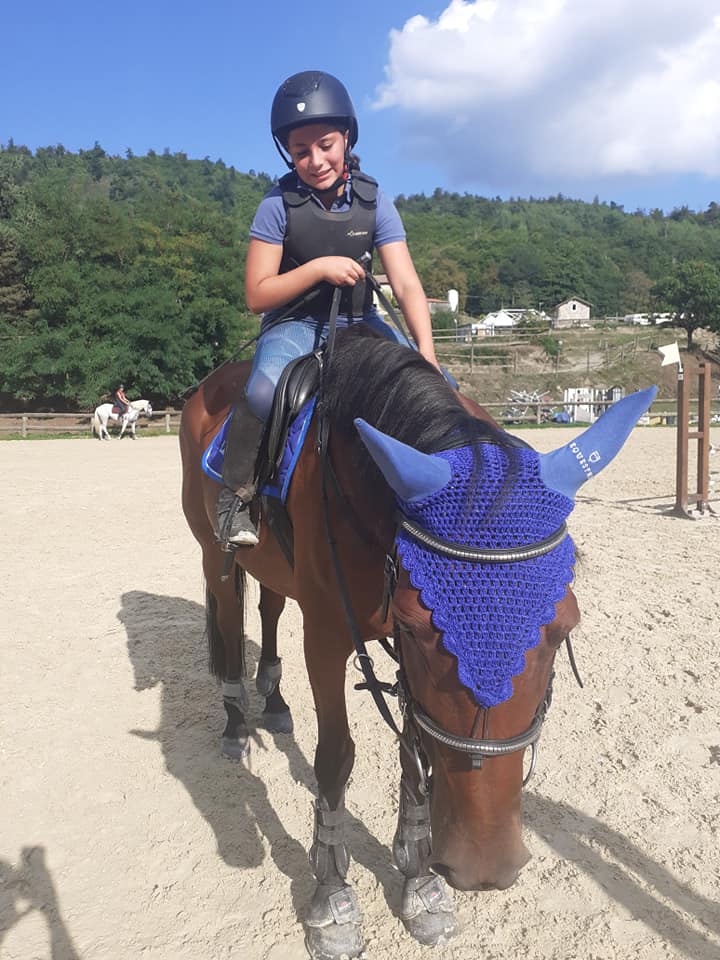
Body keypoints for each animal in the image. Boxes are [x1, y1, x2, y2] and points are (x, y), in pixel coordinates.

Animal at [179, 328, 654, 959]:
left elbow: (415, 755)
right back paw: (236, 722)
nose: (484, 866)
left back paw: (275, 703)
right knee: (232, 617)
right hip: (216, 554)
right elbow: (336, 758)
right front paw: (331, 898)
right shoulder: (329, 636)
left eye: (564, 627)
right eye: (416, 625)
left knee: (270, 608)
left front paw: (419, 880)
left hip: (275, 572)